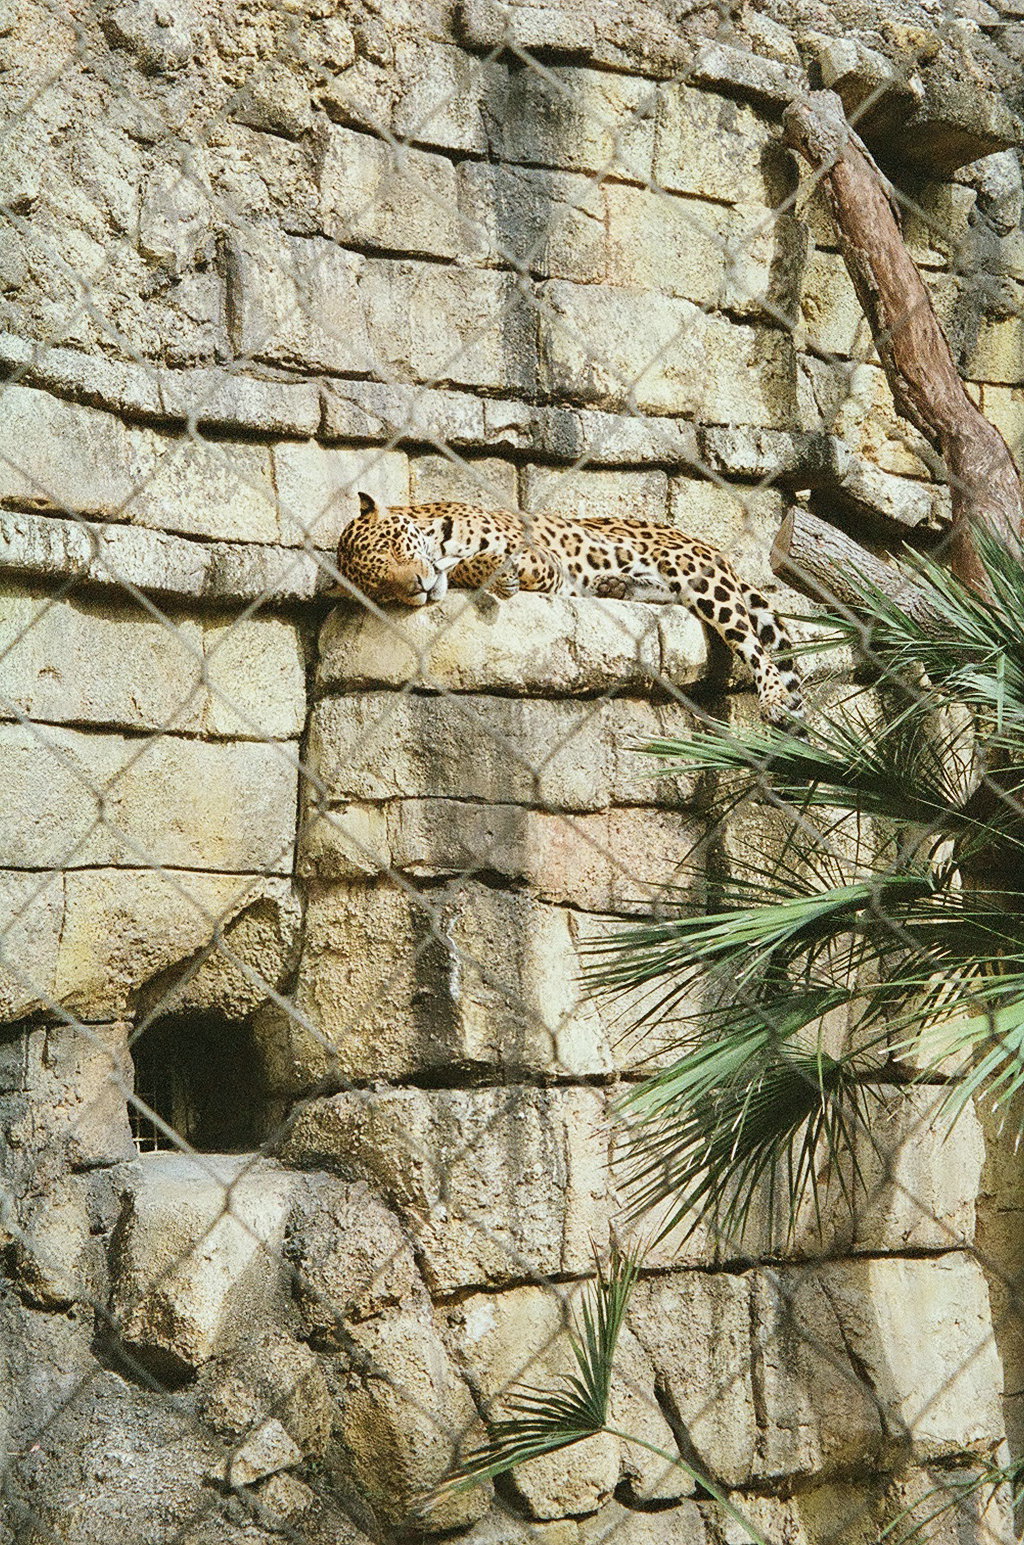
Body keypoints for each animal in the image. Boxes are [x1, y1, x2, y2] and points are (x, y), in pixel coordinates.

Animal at [336, 493, 803, 726]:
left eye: (394, 547)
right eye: (381, 587)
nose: (415, 587)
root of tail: (710, 546)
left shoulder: (542, 558)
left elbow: (491, 557)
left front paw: (493, 570)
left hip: (698, 576)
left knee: (752, 644)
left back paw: (773, 699)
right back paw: (617, 585)